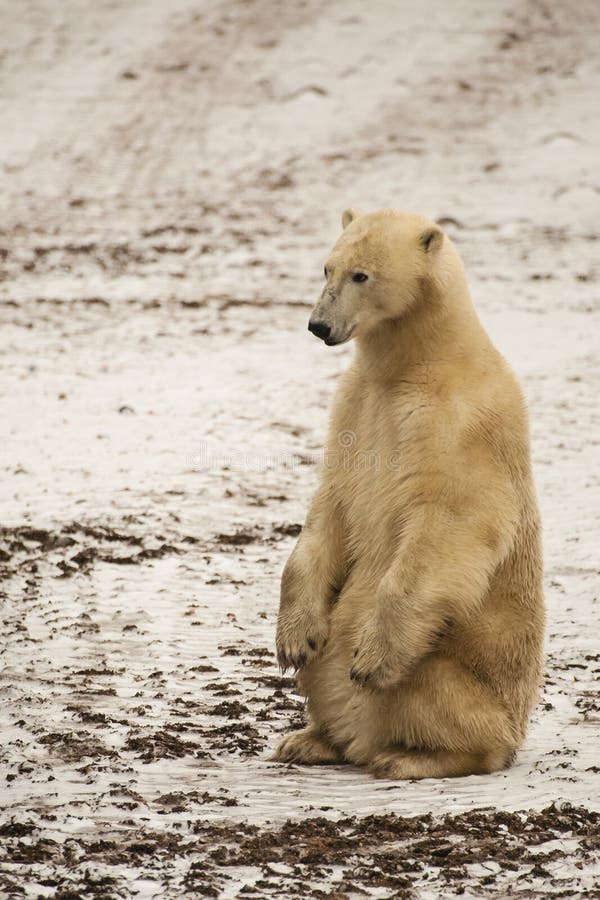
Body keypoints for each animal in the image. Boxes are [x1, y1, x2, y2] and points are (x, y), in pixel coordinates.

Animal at [274, 207, 548, 776]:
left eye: (362, 275)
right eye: (327, 268)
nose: (318, 325)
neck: (419, 362)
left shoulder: (459, 423)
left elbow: (452, 519)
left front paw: (373, 659)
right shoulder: (355, 406)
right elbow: (331, 503)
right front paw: (294, 639)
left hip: (459, 671)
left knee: (432, 694)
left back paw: (407, 756)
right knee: (326, 665)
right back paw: (311, 739)